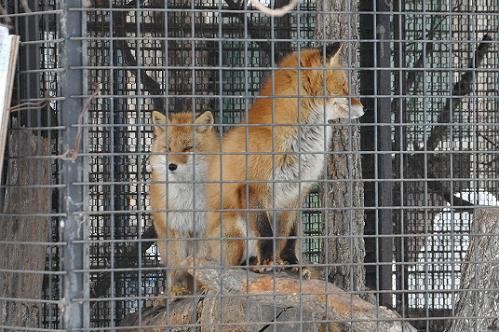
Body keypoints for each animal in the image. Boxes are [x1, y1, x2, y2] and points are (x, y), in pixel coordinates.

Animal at [148, 111, 219, 296]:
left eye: (188, 148)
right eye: (168, 149)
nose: (171, 166)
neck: (189, 200)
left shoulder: (202, 228)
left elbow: (202, 261)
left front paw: (203, 285)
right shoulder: (176, 227)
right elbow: (177, 263)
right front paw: (176, 287)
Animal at [205, 42, 366, 274]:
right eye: (344, 86)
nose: (364, 108)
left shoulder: (296, 191)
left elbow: (288, 236)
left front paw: (291, 263)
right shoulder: (254, 188)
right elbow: (266, 233)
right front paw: (267, 262)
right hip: (234, 227)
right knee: (231, 265)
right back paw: (251, 263)